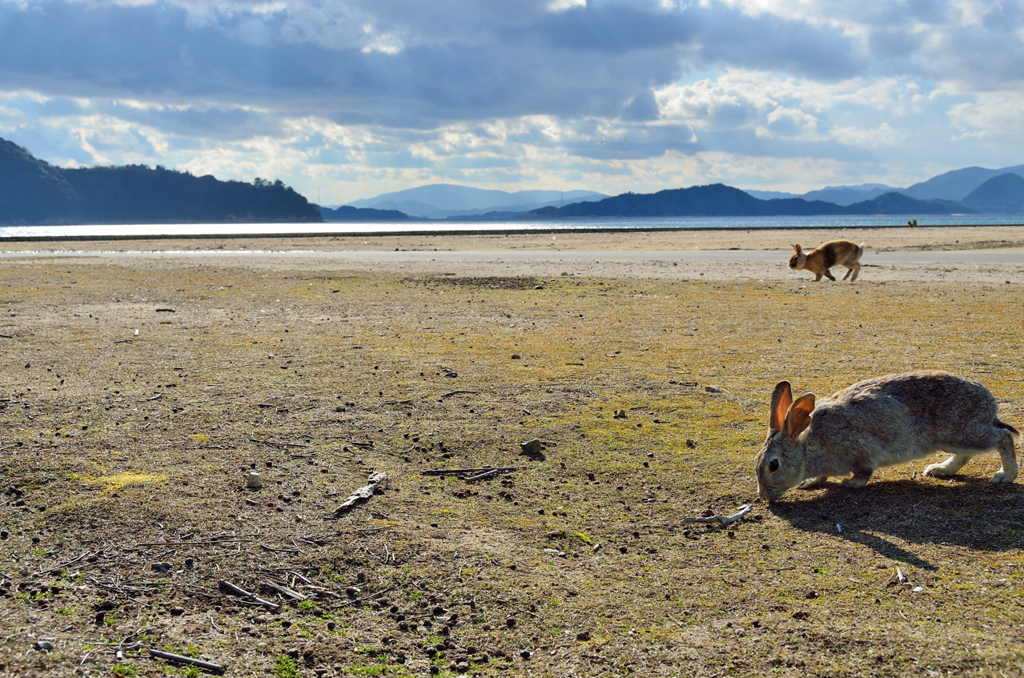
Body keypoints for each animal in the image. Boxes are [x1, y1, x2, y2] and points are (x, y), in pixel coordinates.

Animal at [749, 372, 1019, 503]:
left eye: (773, 465)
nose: (764, 497)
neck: (806, 447)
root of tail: (989, 403)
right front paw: (809, 482)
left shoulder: (861, 452)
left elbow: (864, 472)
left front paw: (851, 483)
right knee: (964, 455)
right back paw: (940, 470)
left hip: (959, 433)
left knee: (1003, 437)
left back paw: (1005, 475)